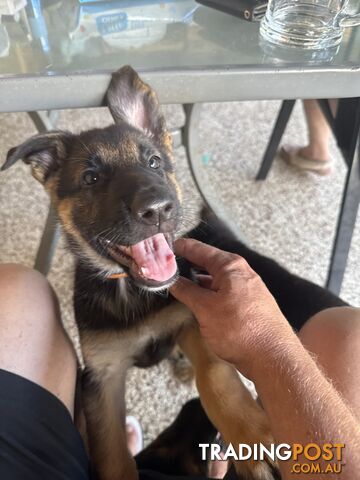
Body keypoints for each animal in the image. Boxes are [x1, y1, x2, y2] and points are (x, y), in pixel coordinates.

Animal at [2, 65, 346, 478]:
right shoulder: (102, 377)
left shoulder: (192, 321)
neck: (133, 291)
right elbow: (114, 456)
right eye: (90, 178)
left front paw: (251, 435)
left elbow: (215, 376)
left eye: (153, 162)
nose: (157, 209)